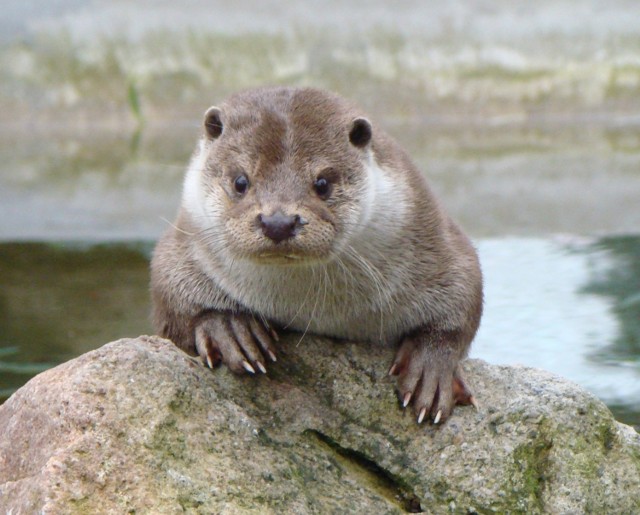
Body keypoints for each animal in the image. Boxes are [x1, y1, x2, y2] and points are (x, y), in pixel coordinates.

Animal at [149, 86, 480, 426]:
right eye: (241, 181)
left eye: (322, 183)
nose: (278, 222)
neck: (318, 310)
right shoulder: (183, 242)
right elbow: (171, 295)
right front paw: (228, 326)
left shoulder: (433, 237)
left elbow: (463, 294)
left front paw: (431, 368)